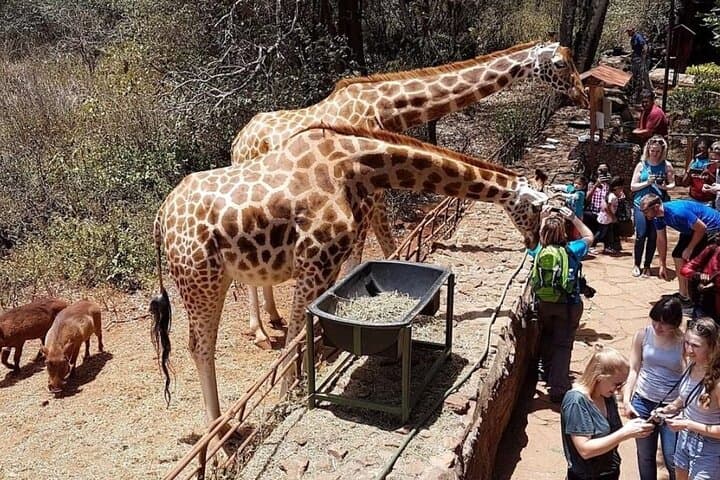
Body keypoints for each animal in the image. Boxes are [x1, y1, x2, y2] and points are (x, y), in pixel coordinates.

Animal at [150, 125, 548, 437]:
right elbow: (296, 336)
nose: (534, 241)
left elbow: (313, 327)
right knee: (199, 347)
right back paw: (220, 432)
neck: (352, 167)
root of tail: (161, 218)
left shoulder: (330, 261)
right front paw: (287, 398)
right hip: (201, 278)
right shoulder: (314, 258)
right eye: (536, 207)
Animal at [231, 41, 588, 345]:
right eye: (559, 64)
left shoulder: (375, 189)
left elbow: (388, 246)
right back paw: (259, 331)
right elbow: (364, 251)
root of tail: (238, 140)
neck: (389, 108)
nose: (582, 95)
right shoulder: (364, 193)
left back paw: (274, 317)